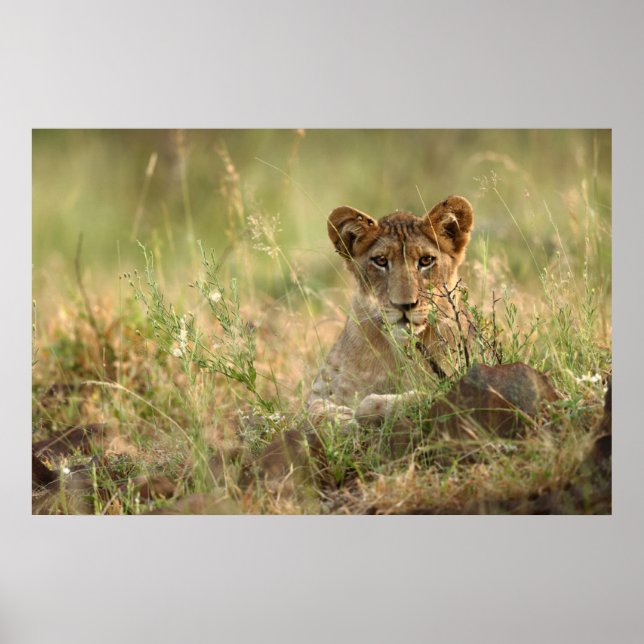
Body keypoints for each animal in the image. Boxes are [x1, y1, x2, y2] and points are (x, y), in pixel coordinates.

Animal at [308, 195, 474, 426]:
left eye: (426, 260)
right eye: (381, 261)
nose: (404, 305)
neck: (399, 351)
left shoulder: (454, 381)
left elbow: (376, 403)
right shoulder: (321, 389)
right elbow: (313, 409)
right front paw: (340, 418)